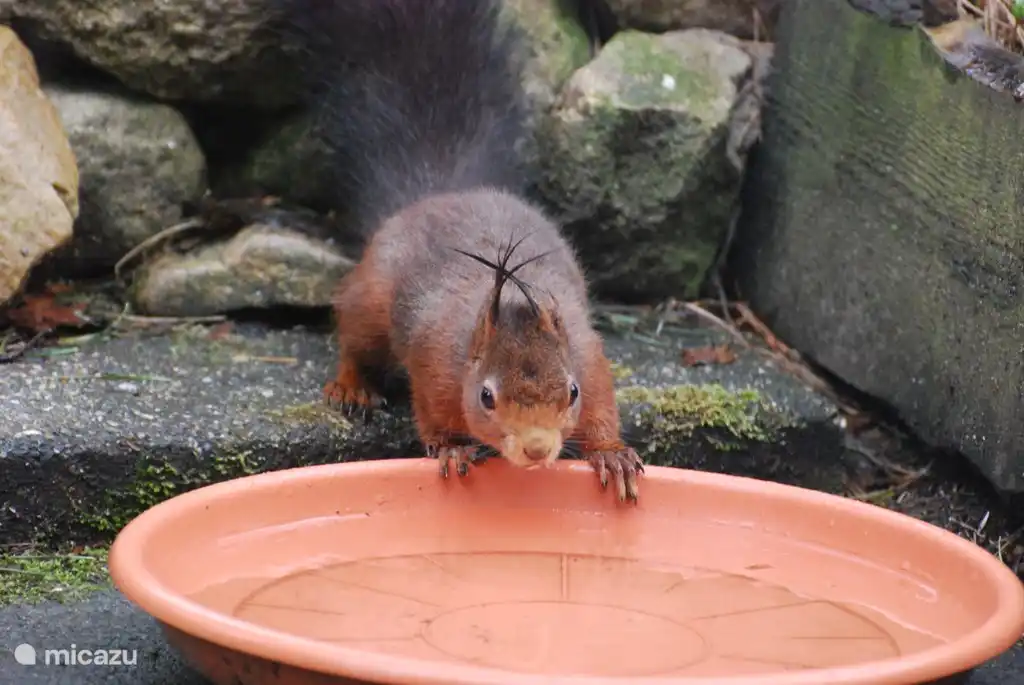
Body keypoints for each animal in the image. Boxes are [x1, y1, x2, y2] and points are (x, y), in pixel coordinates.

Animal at [279, 0, 644, 501]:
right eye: (486, 396)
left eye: (571, 392)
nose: (536, 450)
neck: (512, 300)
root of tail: (440, 194)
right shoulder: (433, 366)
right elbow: (432, 414)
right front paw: (451, 448)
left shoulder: (588, 359)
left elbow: (603, 406)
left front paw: (611, 452)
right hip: (370, 302)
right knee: (354, 338)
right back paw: (351, 386)